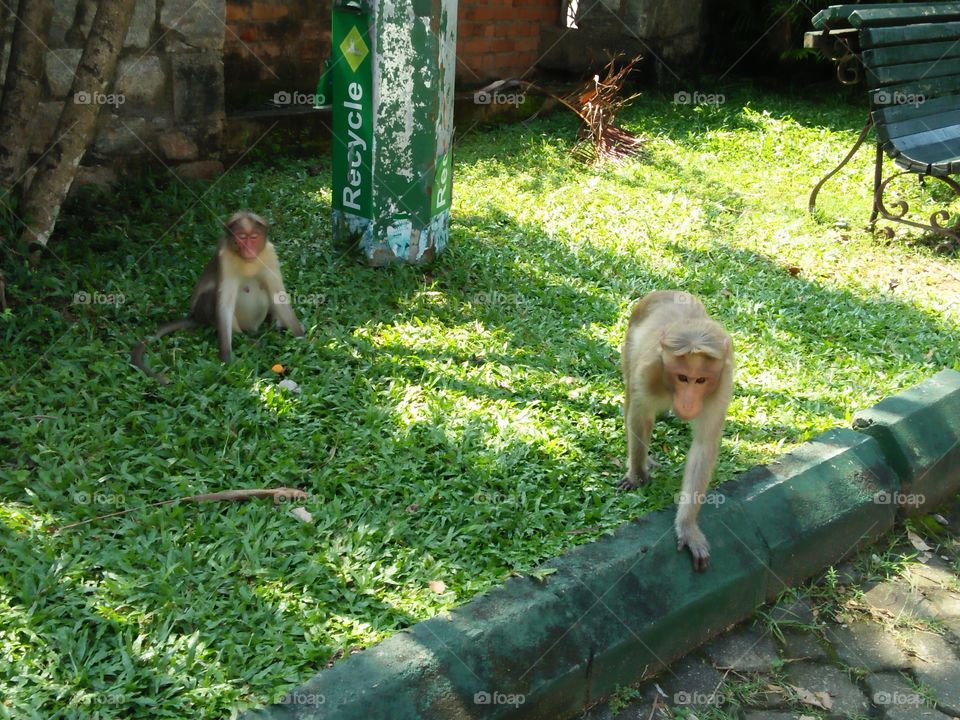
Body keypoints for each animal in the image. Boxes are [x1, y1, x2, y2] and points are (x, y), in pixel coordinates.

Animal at [131, 211, 305, 385]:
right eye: (242, 238)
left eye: (254, 237)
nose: (248, 249)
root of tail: (194, 316)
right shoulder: (225, 259)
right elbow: (224, 307)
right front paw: (227, 360)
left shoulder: (269, 254)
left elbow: (278, 296)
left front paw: (301, 337)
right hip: (203, 313)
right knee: (211, 296)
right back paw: (245, 338)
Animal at [618, 290, 734, 572]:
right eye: (682, 377)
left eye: (700, 380)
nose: (688, 403)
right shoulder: (647, 371)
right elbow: (639, 416)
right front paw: (637, 474)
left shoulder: (722, 386)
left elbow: (704, 445)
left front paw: (687, 527)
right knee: (631, 399)